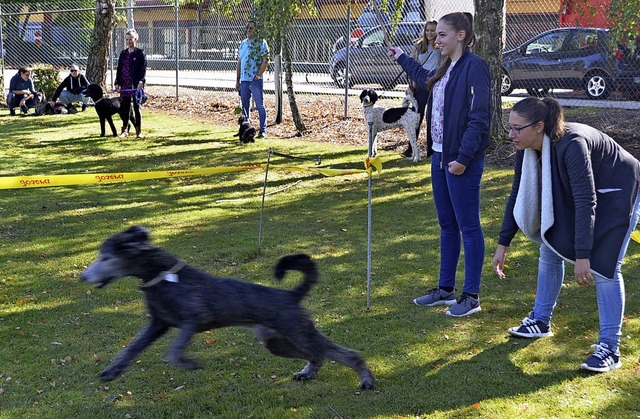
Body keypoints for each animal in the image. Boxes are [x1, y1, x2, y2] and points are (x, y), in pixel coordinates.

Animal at [82, 226, 378, 390]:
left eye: (106, 257)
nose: (83, 277)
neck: (163, 276)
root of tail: (291, 295)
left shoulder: (191, 321)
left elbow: (174, 354)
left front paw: (189, 363)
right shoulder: (157, 324)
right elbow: (131, 349)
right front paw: (113, 370)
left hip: (299, 332)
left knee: (345, 354)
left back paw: (366, 380)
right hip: (277, 343)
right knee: (318, 355)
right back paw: (307, 373)